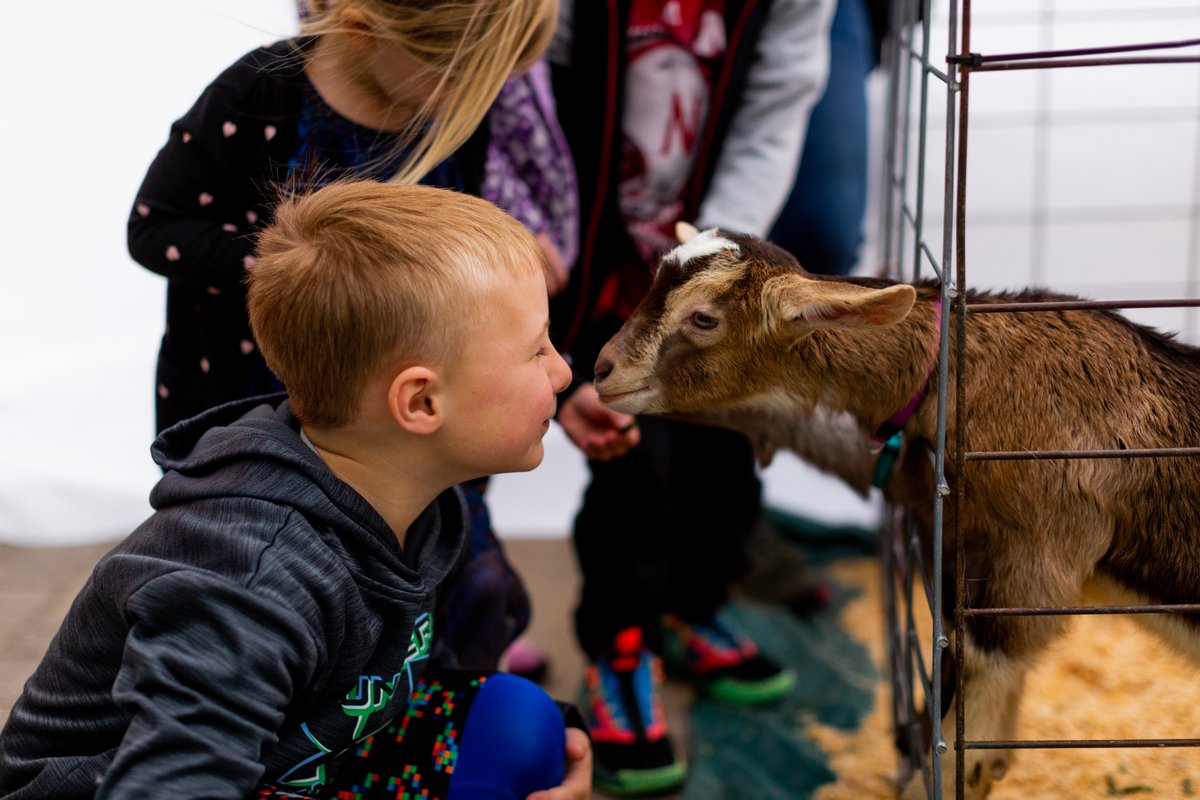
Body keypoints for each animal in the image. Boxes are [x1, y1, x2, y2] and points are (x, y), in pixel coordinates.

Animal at [593, 223, 1200, 800]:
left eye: (703, 318)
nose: (601, 369)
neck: (957, 377)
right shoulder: (952, 535)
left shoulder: (1040, 548)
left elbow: (985, 678)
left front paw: (945, 776)